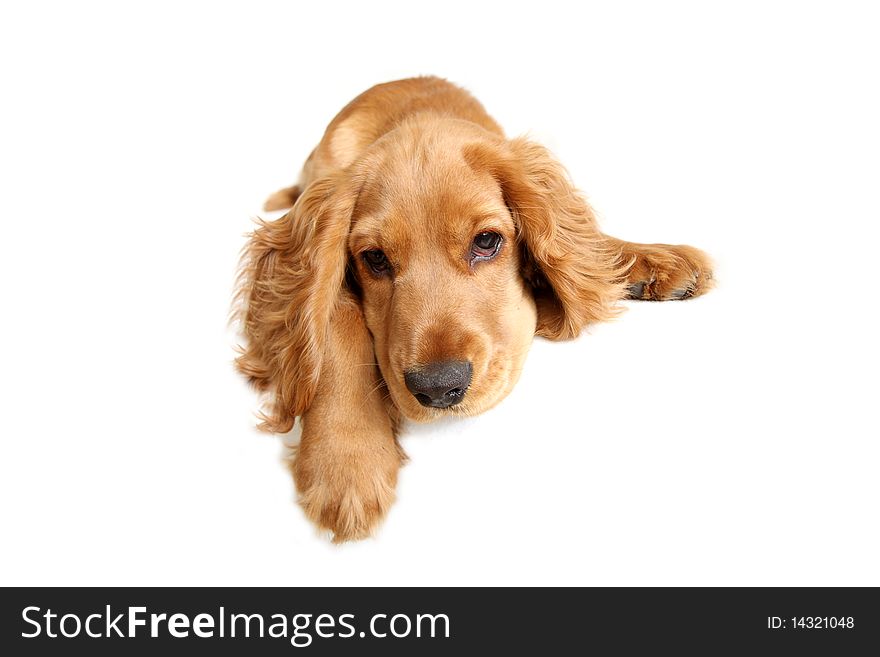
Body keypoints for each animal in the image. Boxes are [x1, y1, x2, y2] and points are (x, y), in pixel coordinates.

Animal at [232, 77, 708, 540]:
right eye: (375, 259)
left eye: (486, 241)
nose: (439, 388)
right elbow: (335, 316)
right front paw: (346, 458)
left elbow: (581, 244)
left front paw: (653, 260)